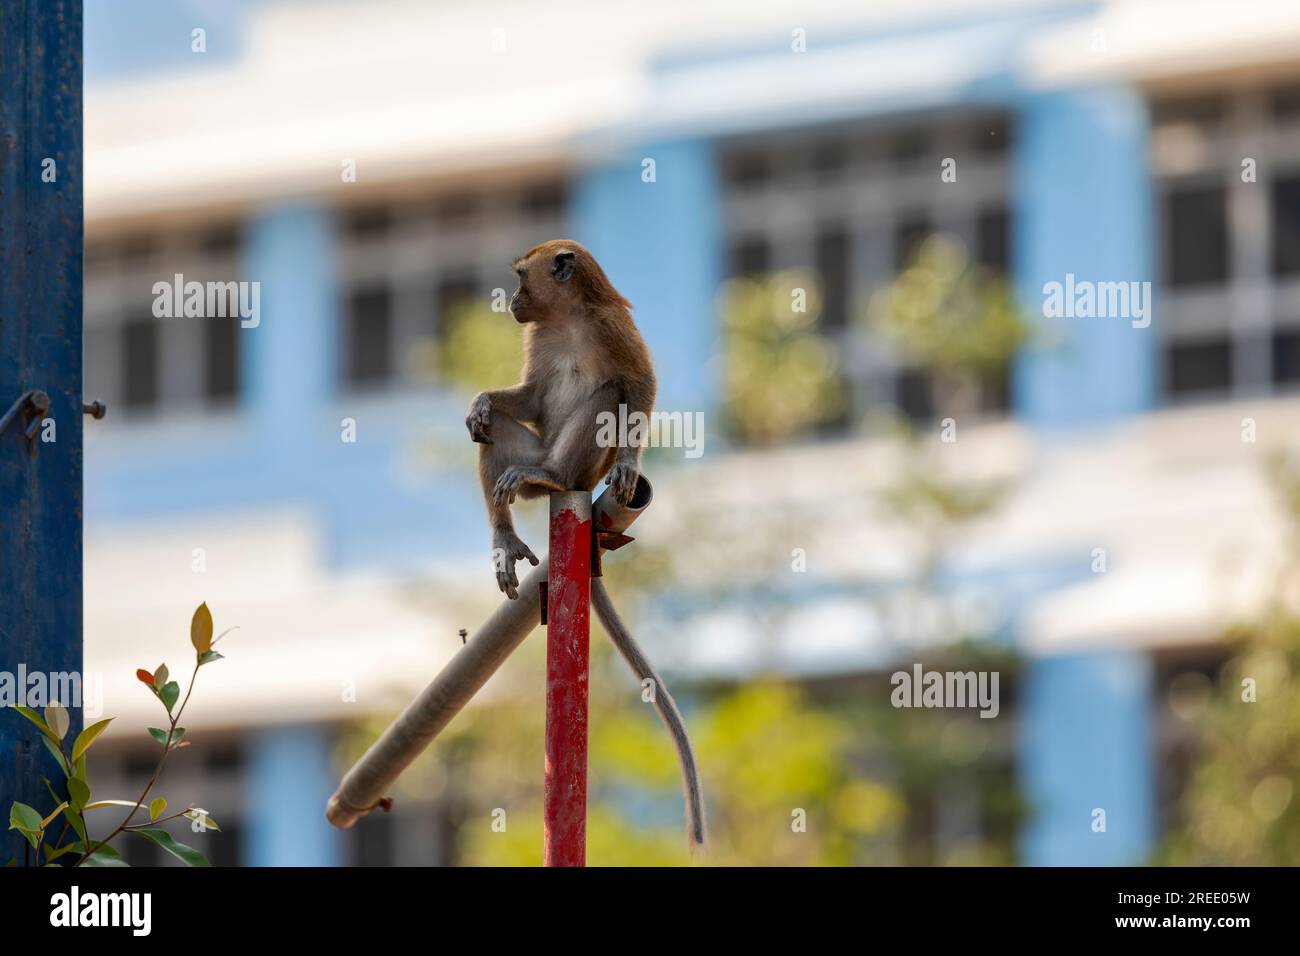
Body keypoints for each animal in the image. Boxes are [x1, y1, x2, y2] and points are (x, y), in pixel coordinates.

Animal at [467, 243, 707, 848]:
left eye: (521, 278)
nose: (514, 302)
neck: (568, 318)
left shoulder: (612, 327)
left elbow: (638, 386)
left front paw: (628, 463)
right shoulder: (539, 337)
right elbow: (526, 400)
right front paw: (480, 400)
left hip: (576, 465)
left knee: (608, 395)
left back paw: (551, 476)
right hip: (527, 459)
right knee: (494, 431)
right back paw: (504, 532)